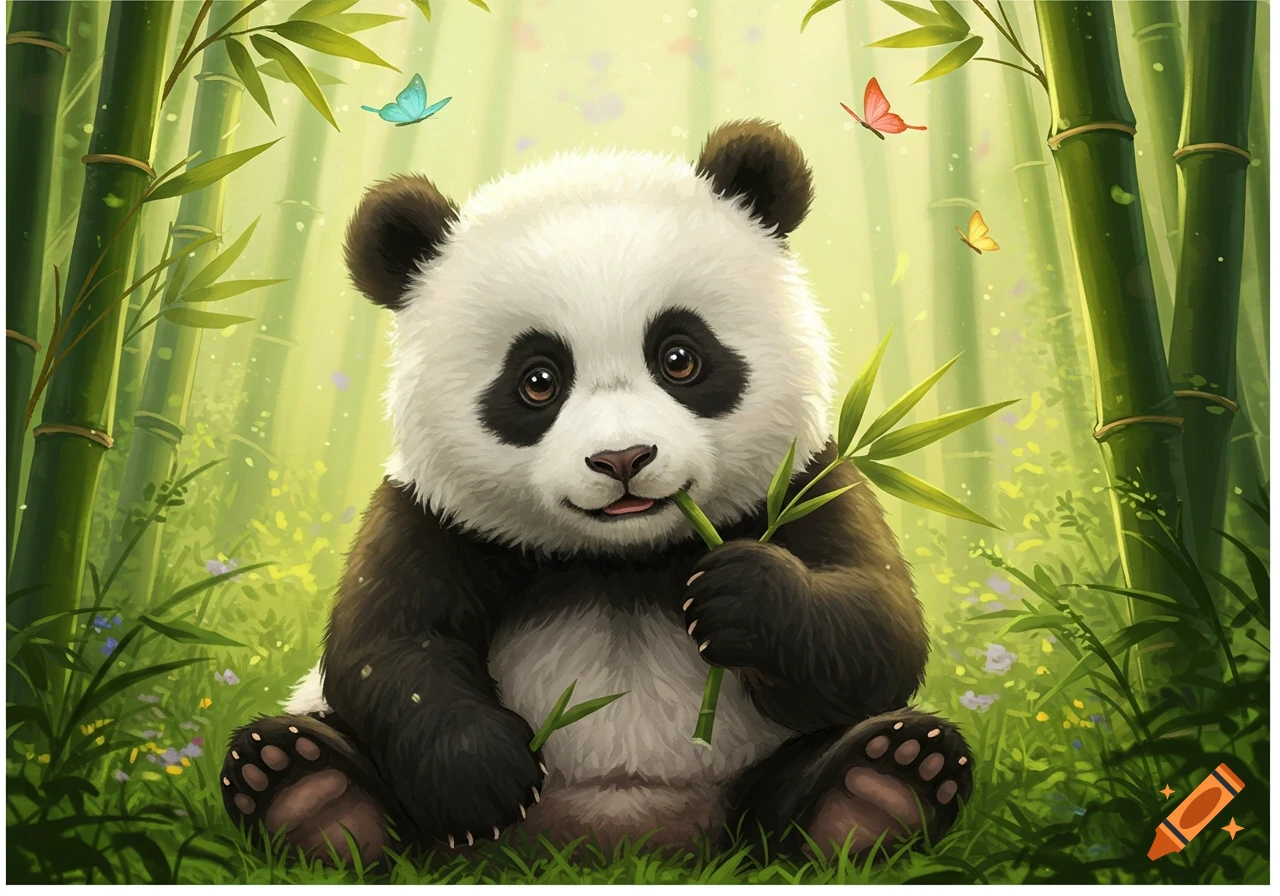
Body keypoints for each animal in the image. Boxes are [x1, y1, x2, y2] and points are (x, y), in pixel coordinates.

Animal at [219, 120, 973, 865]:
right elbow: (388, 645)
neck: (621, 559)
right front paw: (483, 780)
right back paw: (310, 795)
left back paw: (879, 790)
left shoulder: (806, 480)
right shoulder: (431, 513)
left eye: (679, 357)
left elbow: (878, 624)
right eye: (538, 380)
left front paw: (740, 594)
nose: (622, 458)